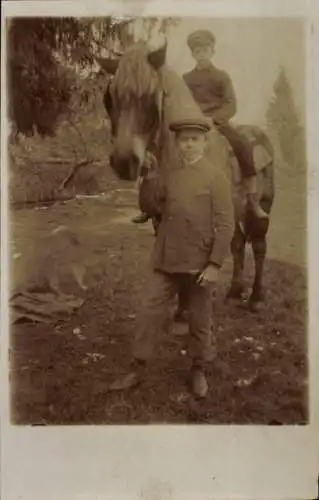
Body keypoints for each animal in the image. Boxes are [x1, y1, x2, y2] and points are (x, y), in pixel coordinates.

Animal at [97, 40, 276, 312]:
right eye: (110, 98)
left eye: (151, 95)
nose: (124, 162)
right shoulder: (163, 219)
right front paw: (181, 310)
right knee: (236, 244)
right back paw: (235, 292)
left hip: (261, 208)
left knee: (258, 246)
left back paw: (255, 297)